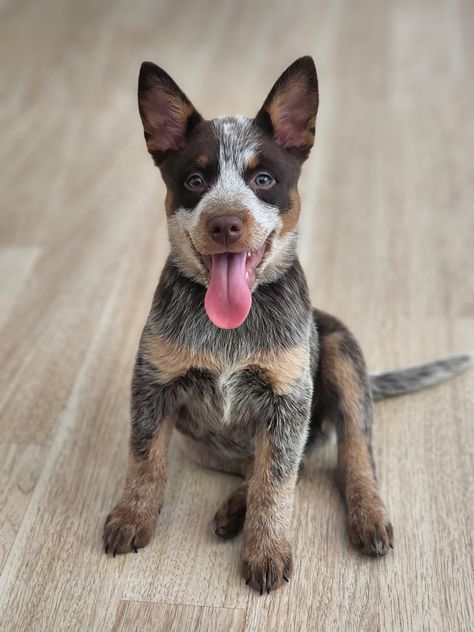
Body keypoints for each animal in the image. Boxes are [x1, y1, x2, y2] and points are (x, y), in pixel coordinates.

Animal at [103, 56, 470, 596]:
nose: (225, 224)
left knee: (349, 456)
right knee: (260, 464)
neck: (232, 328)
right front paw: (132, 515)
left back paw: (367, 513)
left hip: (341, 350)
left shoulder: (289, 399)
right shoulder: (153, 383)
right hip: (199, 444)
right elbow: (145, 456)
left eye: (263, 179)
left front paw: (267, 549)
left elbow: (276, 482)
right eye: (194, 180)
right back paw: (235, 507)